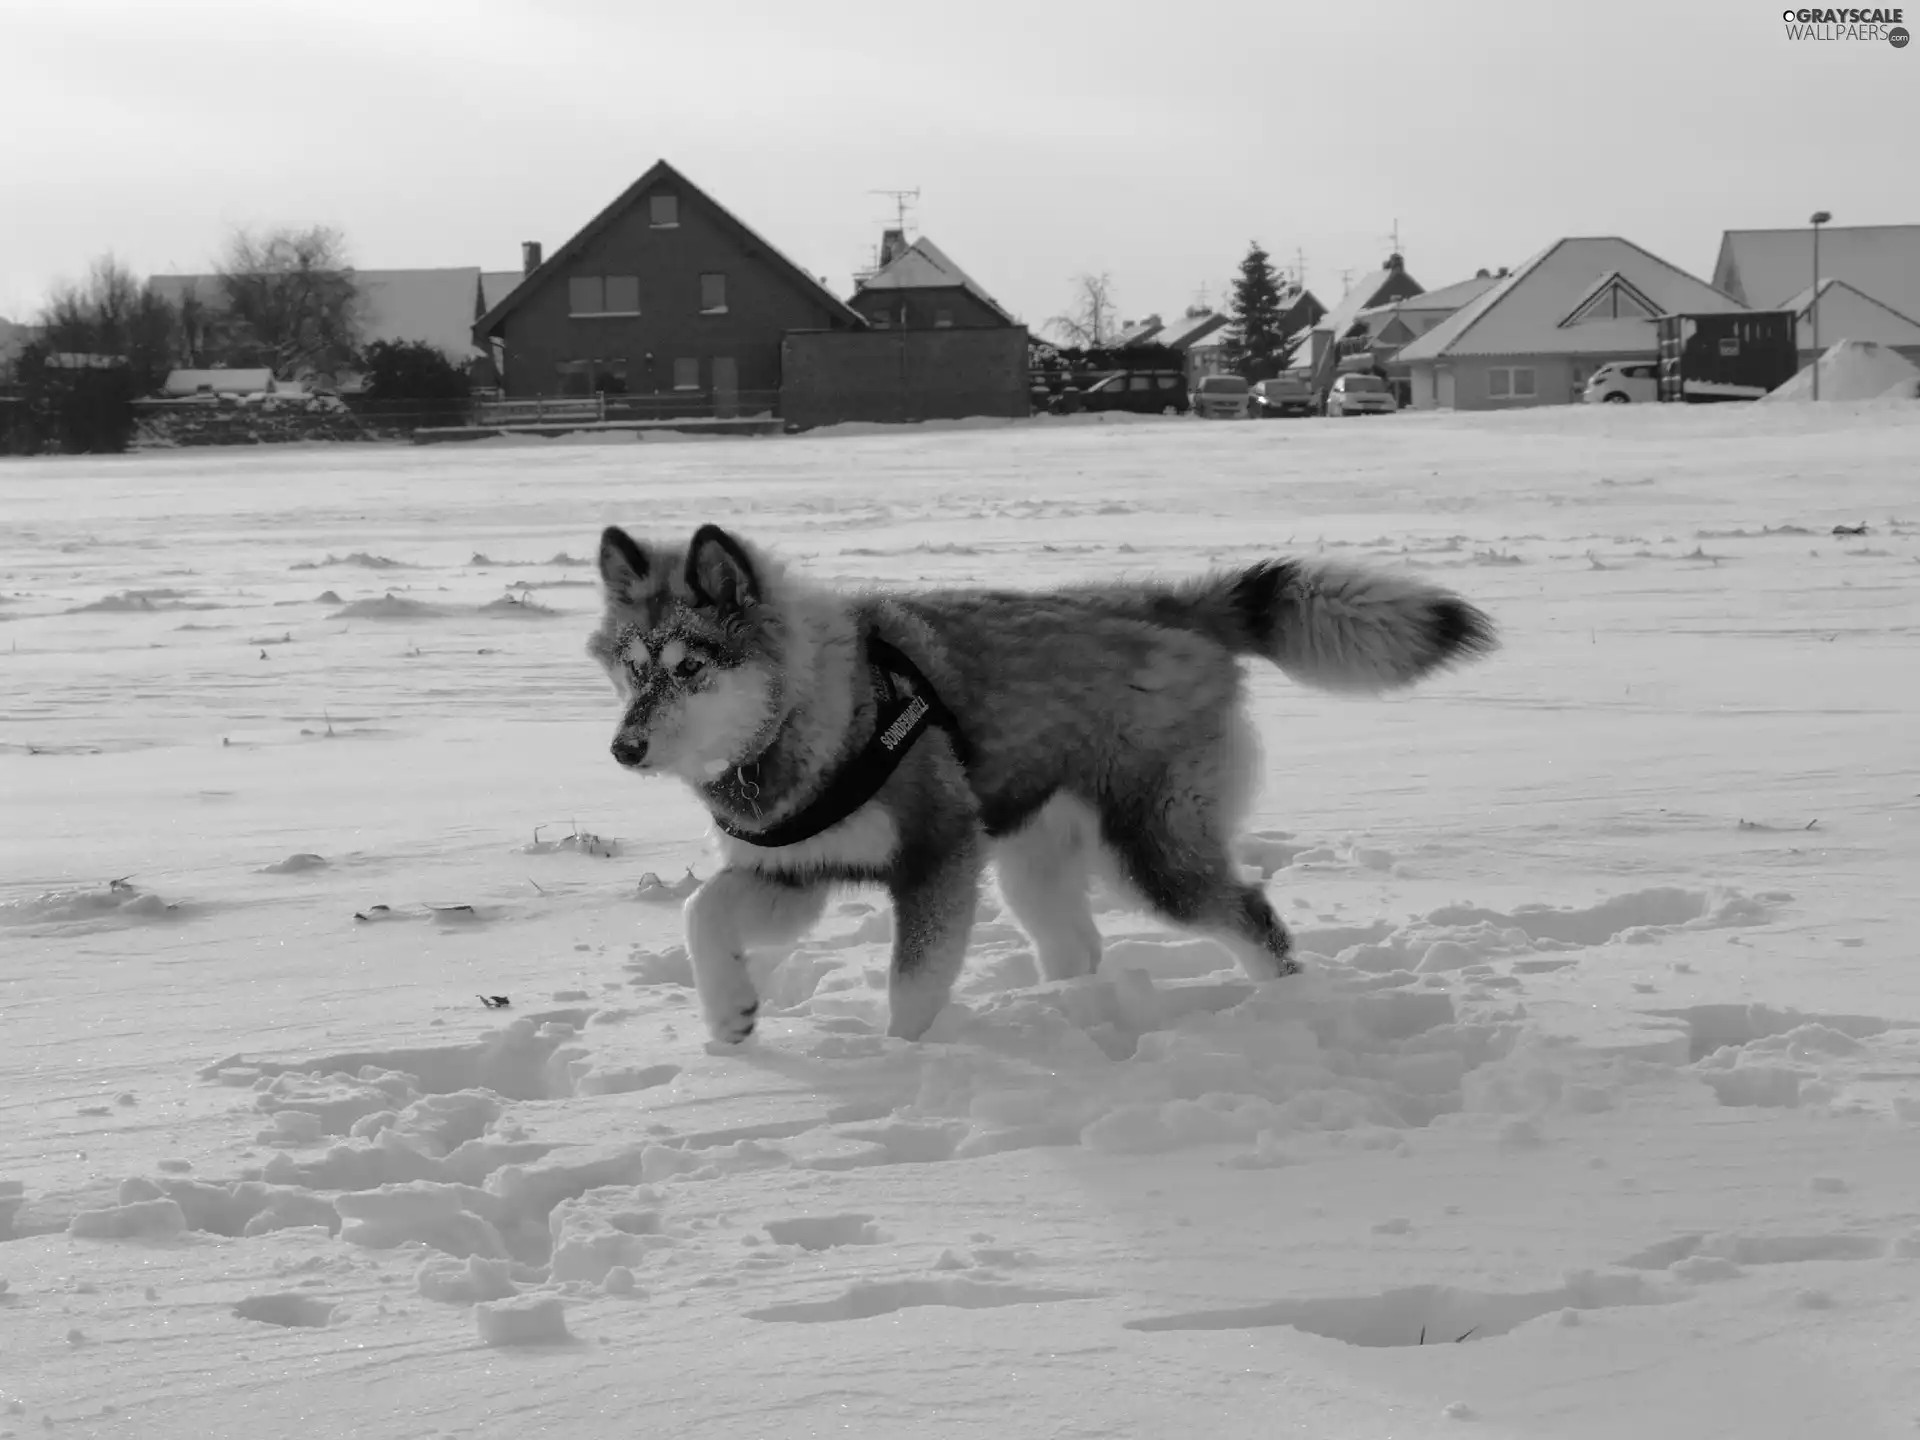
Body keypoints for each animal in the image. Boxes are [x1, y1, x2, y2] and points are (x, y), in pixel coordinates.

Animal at [587, 526, 1497, 1052]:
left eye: (689, 667)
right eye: (632, 668)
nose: (624, 748)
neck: (816, 709)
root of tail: (1167, 603)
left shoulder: (938, 858)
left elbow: (913, 985)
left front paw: (899, 1066)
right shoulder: (796, 869)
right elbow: (701, 913)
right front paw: (729, 1017)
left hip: (1149, 852)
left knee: (1255, 917)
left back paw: (1286, 1013)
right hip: (1036, 858)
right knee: (1079, 946)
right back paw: (1075, 1010)